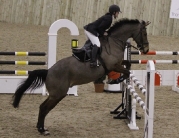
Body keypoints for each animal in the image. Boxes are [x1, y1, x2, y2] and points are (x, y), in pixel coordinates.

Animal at [11, 18, 150, 135]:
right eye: (144, 33)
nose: (146, 50)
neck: (114, 41)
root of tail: (48, 71)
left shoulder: (117, 64)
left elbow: (128, 65)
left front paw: (118, 79)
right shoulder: (113, 65)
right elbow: (126, 72)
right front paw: (117, 80)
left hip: (57, 95)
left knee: (43, 107)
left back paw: (42, 128)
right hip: (58, 94)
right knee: (44, 107)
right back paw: (42, 130)